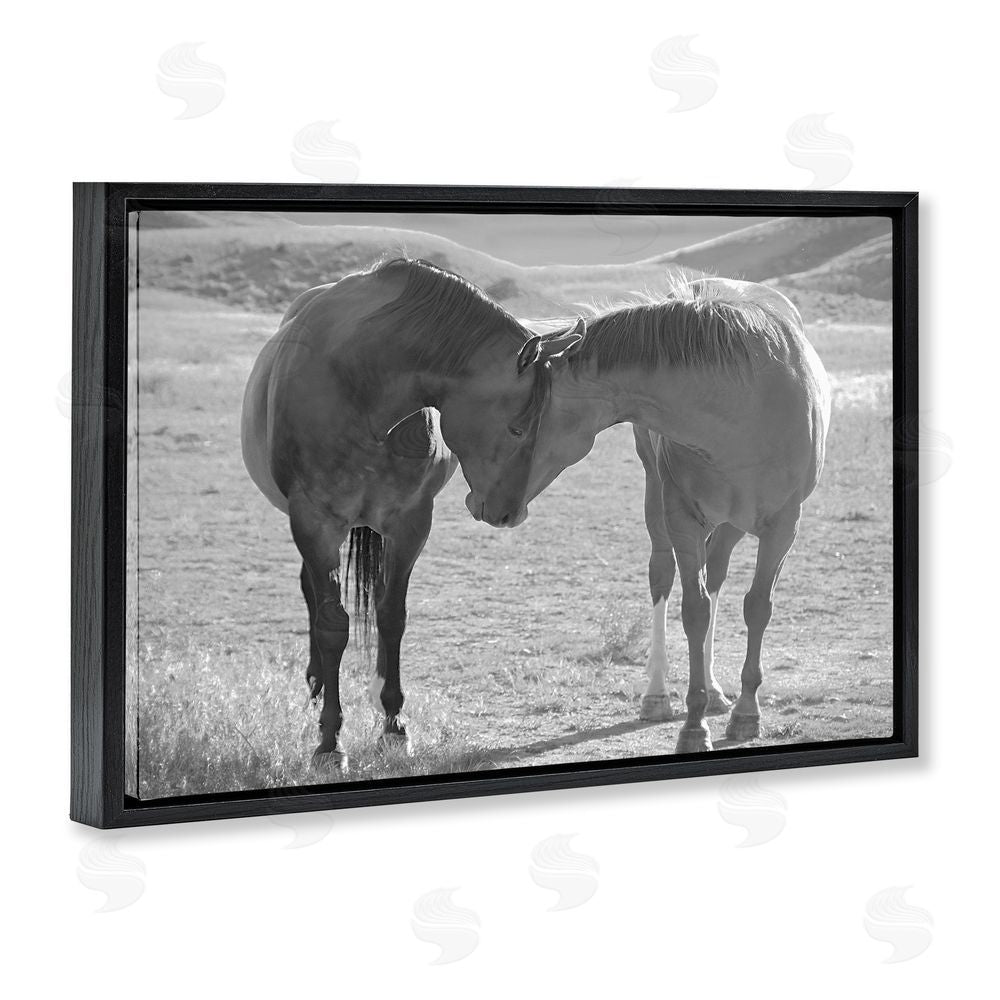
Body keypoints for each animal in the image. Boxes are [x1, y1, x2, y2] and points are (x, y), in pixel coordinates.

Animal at [241, 256, 583, 769]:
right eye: (518, 427)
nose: (509, 514)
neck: (361, 386)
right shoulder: (314, 522)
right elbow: (332, 625)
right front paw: (330, 740)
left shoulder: (410, 522)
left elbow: (392, 615)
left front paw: (394, 724)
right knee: (312, 596)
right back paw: (317, 685)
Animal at [473, 277, 831, 753]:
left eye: (516, 427)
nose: (485, 506)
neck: (743, 406)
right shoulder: (681, 517)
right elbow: (694, 611)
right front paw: (693, 727)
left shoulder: (783, 527)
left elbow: (756, 607)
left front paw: (745, 713)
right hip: (659, 501)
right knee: (663, 575)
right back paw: (658, 694)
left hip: (732, 523)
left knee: (716, 576)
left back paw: (716, 691)